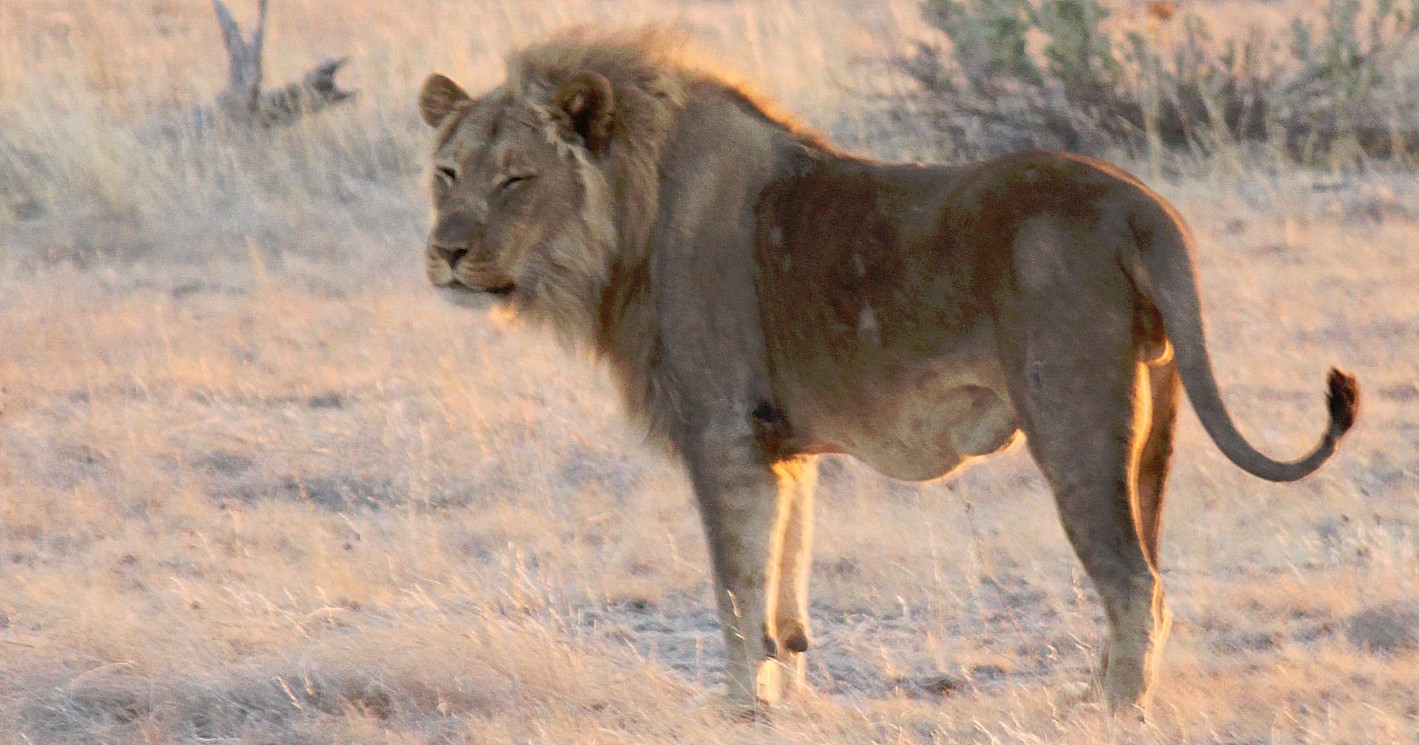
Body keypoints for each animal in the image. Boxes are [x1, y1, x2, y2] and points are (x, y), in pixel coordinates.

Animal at [414, 29, 1356, 712]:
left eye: (517, 179)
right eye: (446, 174)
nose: (446, 252)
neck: (628, 218)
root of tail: (1141, 203)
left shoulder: (722, 434)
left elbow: (734, 591)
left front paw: (733, 709)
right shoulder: (780, 447)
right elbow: (784, 589)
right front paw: (785, 696)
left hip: (1072, 420)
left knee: (1133, 585)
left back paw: (1109, 714)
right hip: (1154, 427)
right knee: (1147, 572)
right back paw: (1091, 693)